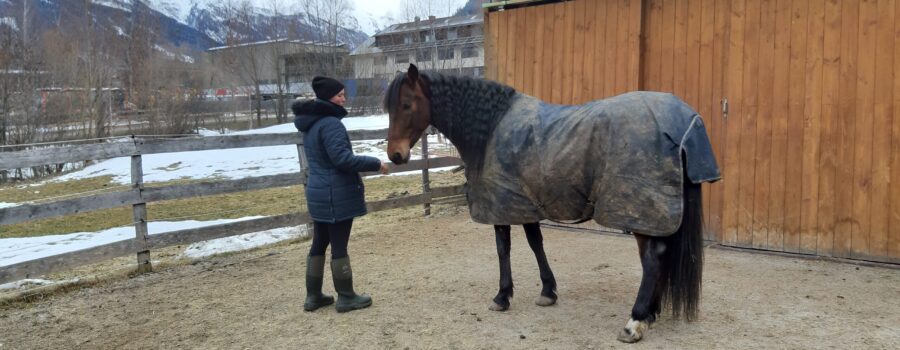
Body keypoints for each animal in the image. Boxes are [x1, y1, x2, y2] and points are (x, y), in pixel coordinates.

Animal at [384, 63, 720, 342]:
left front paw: (502, 296)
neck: (492, 128)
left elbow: (503, 249)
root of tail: (684, 121)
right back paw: (650, 314)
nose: (395, 156)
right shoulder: (526, 203)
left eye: (406, 104)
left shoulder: (502, 205)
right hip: (649, 215)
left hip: (641, 208)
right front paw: (548, 291)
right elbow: (536, 244)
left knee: (652, 259)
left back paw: (635, 322)